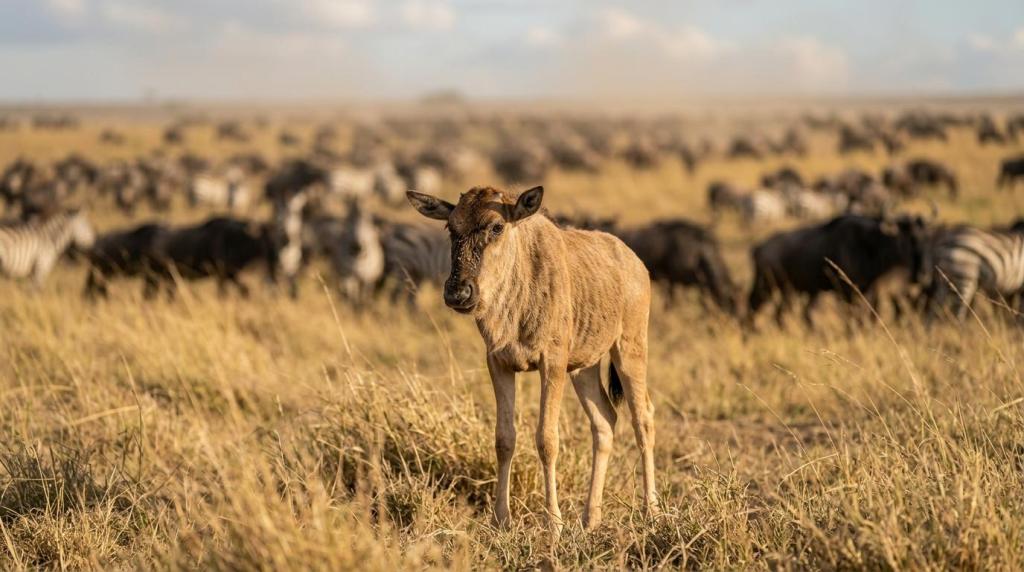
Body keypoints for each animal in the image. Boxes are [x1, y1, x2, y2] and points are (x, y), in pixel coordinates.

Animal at [407, 186, 658, 533]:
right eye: (450, 227)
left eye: (497, 226)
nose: (458, 293)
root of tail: (635, 262)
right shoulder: (498, 364)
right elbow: (504, 438)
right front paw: (501, 519)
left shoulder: (551, 364)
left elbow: (546, 439)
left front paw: (553, 523)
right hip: (584, 368)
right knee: (605, 421)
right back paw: (590, 518)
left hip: (630, 349)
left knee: (642, 418)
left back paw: (652, 512)